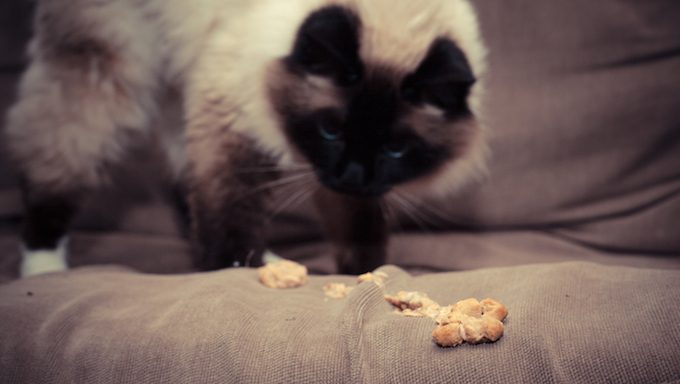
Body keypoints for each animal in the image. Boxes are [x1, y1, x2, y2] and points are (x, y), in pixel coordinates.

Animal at [2, 0, 486, 276]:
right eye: (330, 129)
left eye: (395, 148)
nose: (350, 174)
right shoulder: (231, 111)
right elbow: (229, 204)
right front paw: (235, 266)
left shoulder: (344, 182)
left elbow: (359, 224)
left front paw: (366, 272)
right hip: (106, 70)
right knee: (55, 160)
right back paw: (43, 268)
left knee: (185, 178)